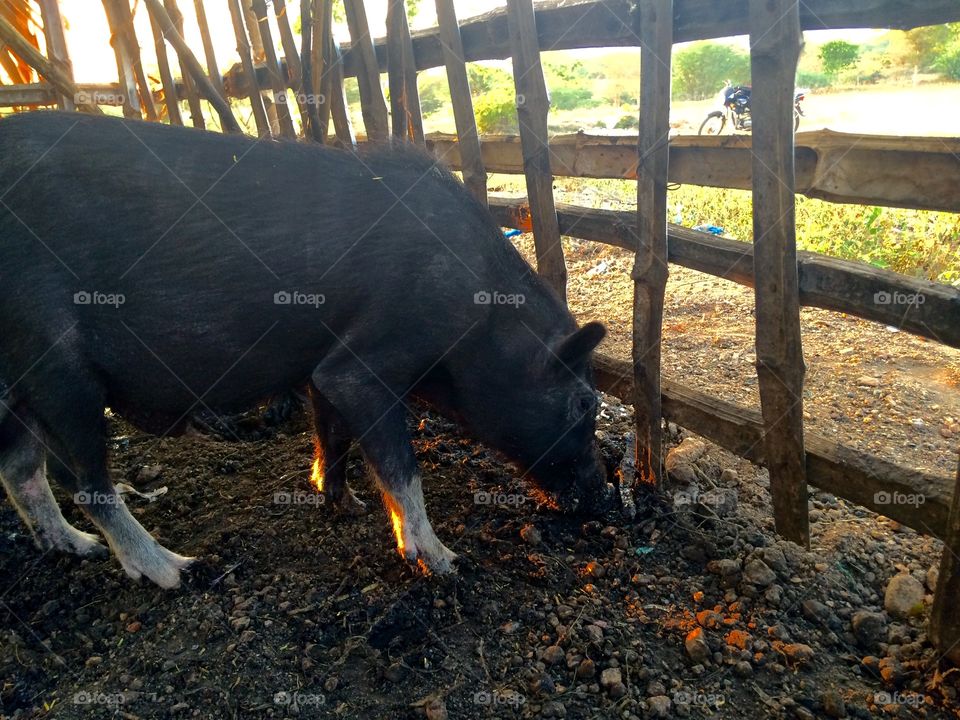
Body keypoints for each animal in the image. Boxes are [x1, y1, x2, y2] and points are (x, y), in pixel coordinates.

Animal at [0, 112, 613, 588]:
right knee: (84, 482)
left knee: (20, 470)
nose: (603, 489)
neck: (481, 318)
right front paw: (443, 563)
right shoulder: (366, 362)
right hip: (54, 366)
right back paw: (178, 569)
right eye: (585, 403)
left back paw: (75, 549)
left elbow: (332, 434)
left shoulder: (322, 364)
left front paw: (341, 502)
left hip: (20, 389)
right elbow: (401, 464)